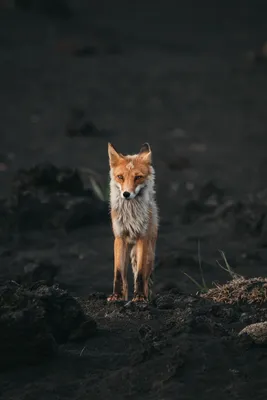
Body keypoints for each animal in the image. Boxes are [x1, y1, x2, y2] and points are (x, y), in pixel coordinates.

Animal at [107, 142, 159, 302]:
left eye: (138, 177)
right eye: (120, 177)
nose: (126, 194)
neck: (130, 215)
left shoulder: (142, 238)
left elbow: (140, 275)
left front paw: (140, 297)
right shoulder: (120, 237)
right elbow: (118, 273)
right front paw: (116, 296)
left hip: (145, 253)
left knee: (144, 278)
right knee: (125, 280)